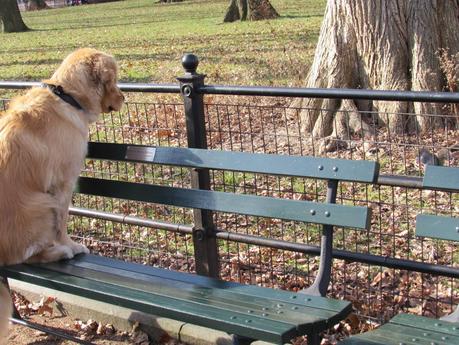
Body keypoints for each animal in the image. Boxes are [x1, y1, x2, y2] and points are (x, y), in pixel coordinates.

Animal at [0, 48, 124, 342]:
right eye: (114, 79)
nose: (124, 97)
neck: (68, 96)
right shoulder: (64, 183)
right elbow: (63, 223)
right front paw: (72, 245)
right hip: (41, 204)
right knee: (22, 256)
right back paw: (60, 252)